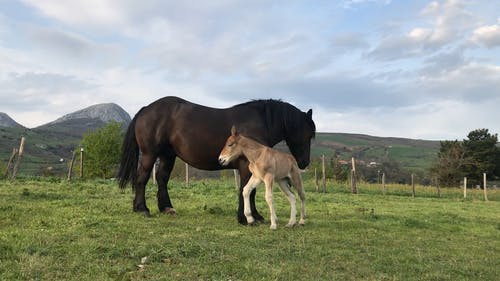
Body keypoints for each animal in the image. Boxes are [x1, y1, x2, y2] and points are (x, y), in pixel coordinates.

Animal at [117, 96, 314, 223]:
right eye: (309, 134)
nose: (304, 163)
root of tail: (145, 109)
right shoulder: (245, 166)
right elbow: (246, 189)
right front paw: (245, 218)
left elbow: (250, 190)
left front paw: (255, 216)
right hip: (149, 154)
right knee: (142, 179)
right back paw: (142, 209)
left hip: (168, 156)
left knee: (161, 179)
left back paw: (166, 208)